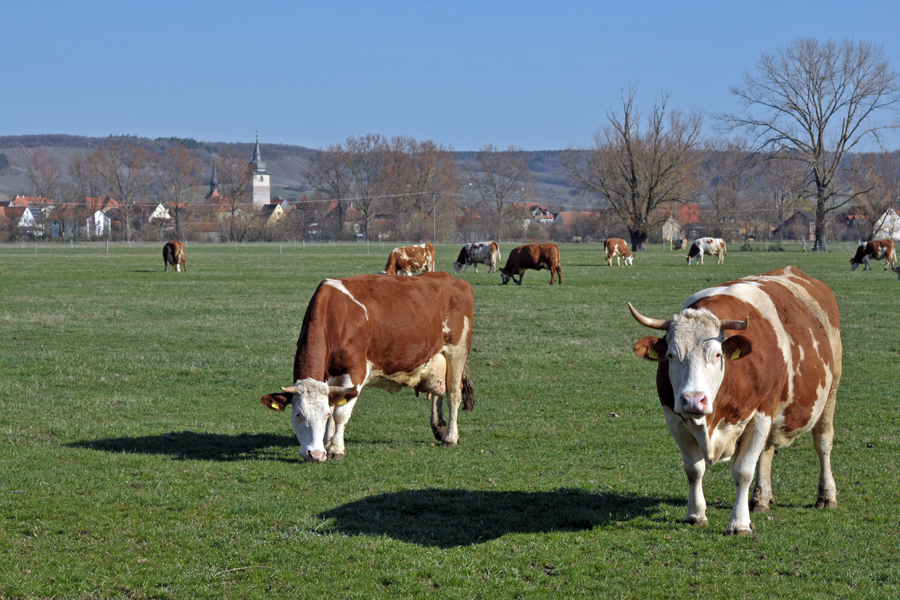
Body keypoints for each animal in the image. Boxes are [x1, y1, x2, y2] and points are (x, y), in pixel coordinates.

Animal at [260, 274, 474, 462]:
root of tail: (453, 279)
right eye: (297, 414)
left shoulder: (356, 371)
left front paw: (336, 449)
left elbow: (340, 413)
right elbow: (334, 404)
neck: (335, 317)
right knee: (438, 392)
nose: (315, 454)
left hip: (457, 351)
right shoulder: (330, 376)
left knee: (453, 395)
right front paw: (328, 443)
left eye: (324, 414)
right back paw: (439, 428)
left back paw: (450, 437)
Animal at [628, 268, 840, 536]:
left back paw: (826, 495)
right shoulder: (673, 417)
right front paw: (695, 514)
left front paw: (739, 523)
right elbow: (694, 470)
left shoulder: (761, 413)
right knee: (767, 451)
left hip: (830, 391)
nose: (692, 400)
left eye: (718, 354)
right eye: (670, 355)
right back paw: (761, 499)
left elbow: (743, 472)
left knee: (823, 442)